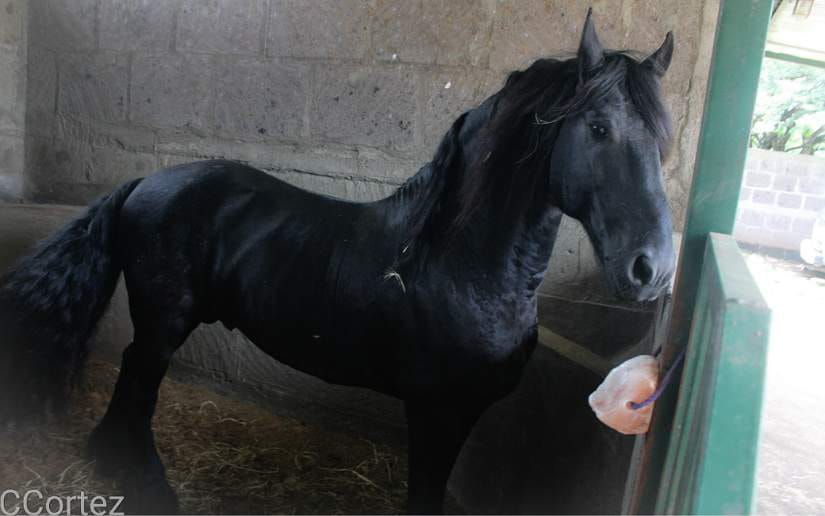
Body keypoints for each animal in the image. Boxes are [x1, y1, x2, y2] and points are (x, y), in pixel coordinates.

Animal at [0, 11, 675, 514]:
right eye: (598, 127)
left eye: (662, 141)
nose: (653, 270)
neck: (461, 266)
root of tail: (146, 181)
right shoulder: (434, 413)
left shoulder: (457, 416)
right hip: (164, 323)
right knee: (138, 386)